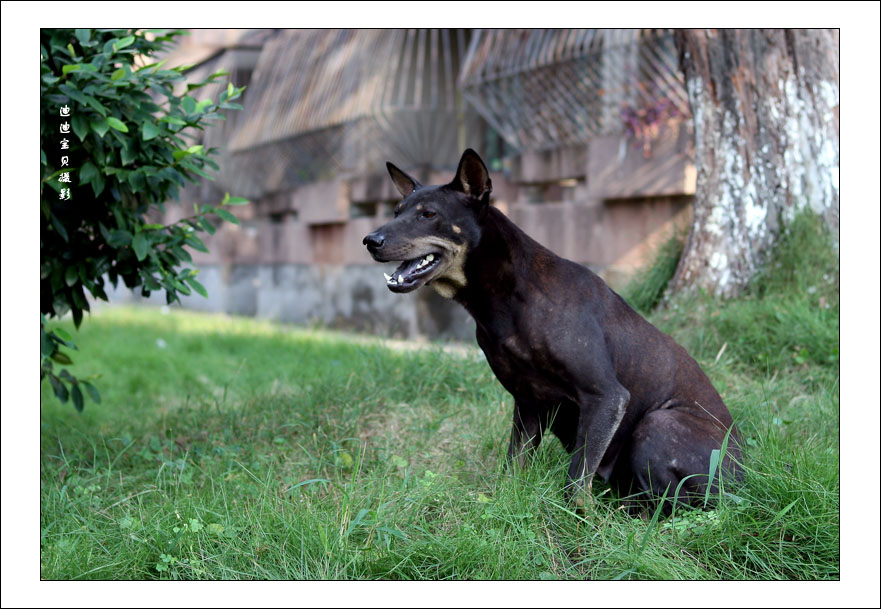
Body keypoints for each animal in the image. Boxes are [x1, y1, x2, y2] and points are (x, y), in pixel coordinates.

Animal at [360, 148, 740, 508]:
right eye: (396, 211)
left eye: (429, 214)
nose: (370, 240)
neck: (509, 294)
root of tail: (745, 481)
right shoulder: (528, 402)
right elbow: (513, 469)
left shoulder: (606, 397)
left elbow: (575, 483)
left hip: (657, 424)